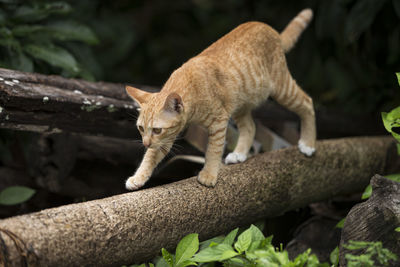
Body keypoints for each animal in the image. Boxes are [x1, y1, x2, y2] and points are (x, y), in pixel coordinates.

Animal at [125, 8, 316, 191]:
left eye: (157, 130)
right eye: (141, 128)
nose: (145, 143)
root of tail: (270, 29)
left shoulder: (218, 122)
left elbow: (213, 150)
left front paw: (209, 175)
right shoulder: (168, 137)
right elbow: (150, 157)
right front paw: (138, 178)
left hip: (282, 89)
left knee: (307, 102)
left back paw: (308, 143)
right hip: (239, 104)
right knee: (250, 127)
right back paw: (239, 154)